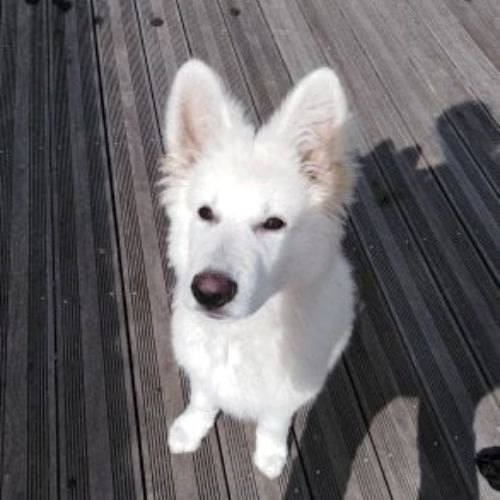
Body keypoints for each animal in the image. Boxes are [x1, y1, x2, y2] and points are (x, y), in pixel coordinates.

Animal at [159, 59, 358, 479]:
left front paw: (270, 455)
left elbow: (273, 420)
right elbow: (203, 397)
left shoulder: (290, 392)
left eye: (273, 224)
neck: (240, 336)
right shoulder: (203, 371)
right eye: (205, 213)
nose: (209, 291)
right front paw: (190, 428)